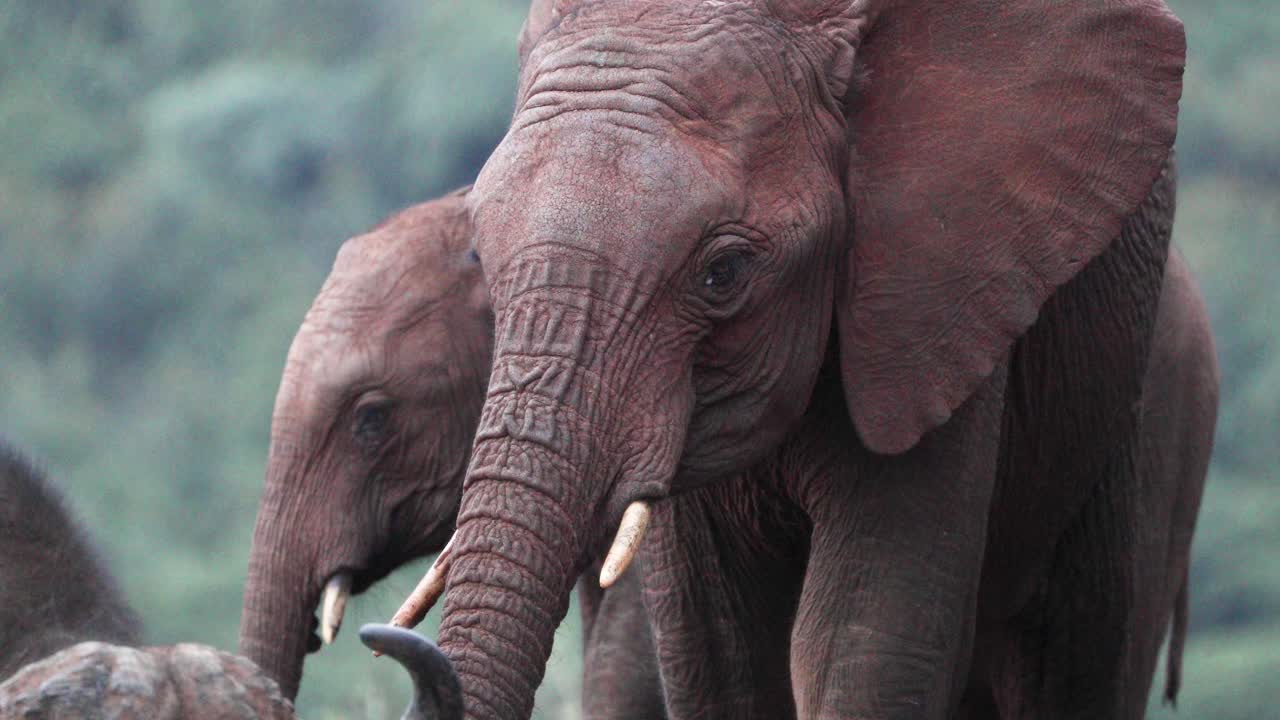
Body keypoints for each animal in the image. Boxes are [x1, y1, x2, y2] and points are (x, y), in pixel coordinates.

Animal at [387, 1, 1209, 719]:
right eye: (480, 256)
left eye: (723, 272)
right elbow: (718, 656)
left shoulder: (937, 303)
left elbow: (862, 643)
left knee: (1077, 660)